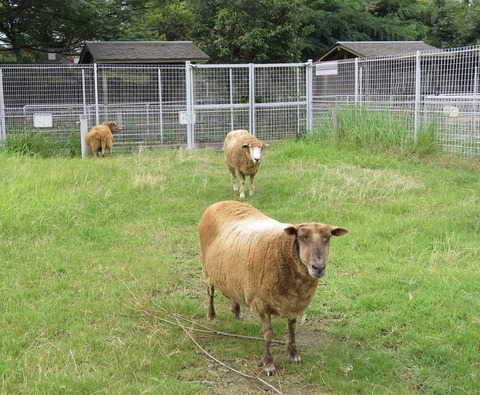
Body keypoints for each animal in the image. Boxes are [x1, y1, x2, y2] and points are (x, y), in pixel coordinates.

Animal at [199, 203, 348, 376]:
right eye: (301, 237)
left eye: (328, 238)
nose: (319, 267)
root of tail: (220, 203)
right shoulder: (262, 303)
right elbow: (268, 334)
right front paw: (268, 363)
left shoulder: (294, 302)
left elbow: (292, 328)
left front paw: (293, 354)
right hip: (207, 268)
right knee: (210, 293)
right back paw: (211, 316)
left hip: (233, 276)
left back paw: (236, 311)